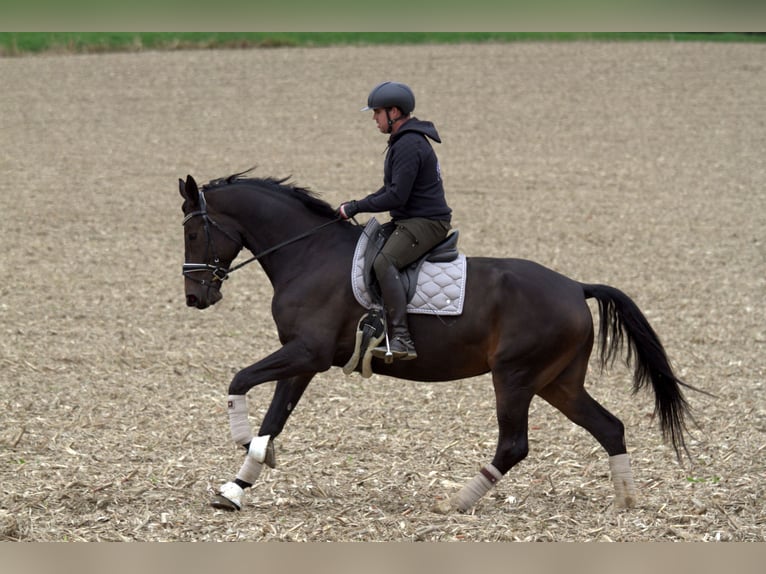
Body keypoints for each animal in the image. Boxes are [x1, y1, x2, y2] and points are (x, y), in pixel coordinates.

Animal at [178, 170, 704, 512]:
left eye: (192, 232)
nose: (194, 297)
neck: (308, 253)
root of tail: (576, 287)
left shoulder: (305, 353)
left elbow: (239, 380)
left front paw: (244, 442)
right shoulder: (303, 360)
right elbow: (275, 419)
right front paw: (236, 487)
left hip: (515, 377)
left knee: (514, 445)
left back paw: (455, 501)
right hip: (558, 383)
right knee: (609, 427)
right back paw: (626, 501)